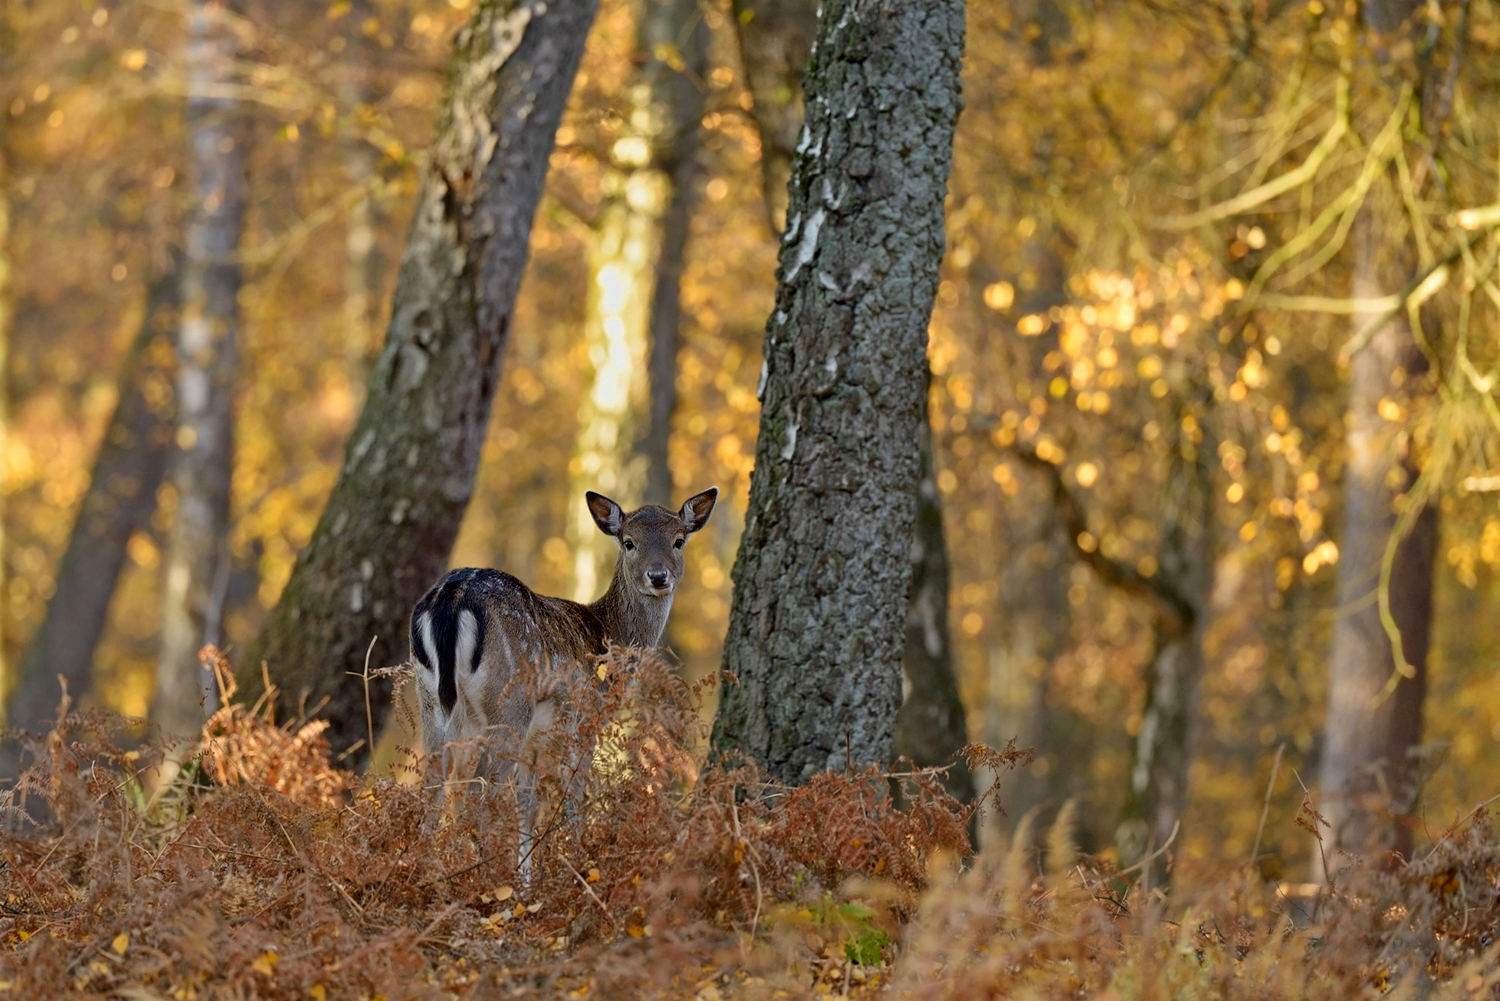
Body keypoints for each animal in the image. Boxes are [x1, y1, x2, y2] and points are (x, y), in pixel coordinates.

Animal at [408, 489, 717, 870]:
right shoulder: (584, 721)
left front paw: (526, 879)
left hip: (431, 701)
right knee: (478, 796)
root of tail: (452, 599)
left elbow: (527, 810)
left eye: (678, 540)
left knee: (431, 794)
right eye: (629, 542)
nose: (658, 576)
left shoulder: (536, 741)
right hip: (508, 704)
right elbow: (573, 802)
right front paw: (579, 868)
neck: (607, 635)